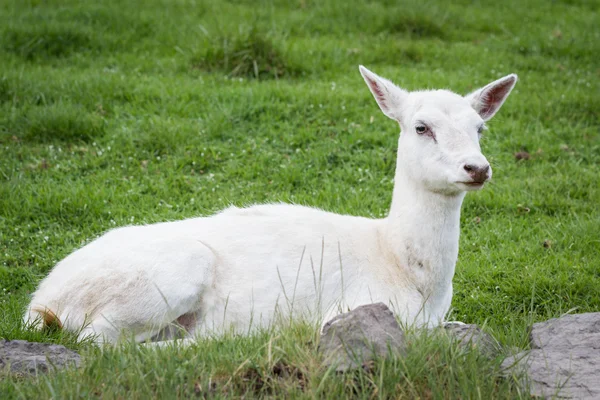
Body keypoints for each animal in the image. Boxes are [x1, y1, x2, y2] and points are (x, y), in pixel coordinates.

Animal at [24, 65, 516, 344]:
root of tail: (40, 303)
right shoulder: (351, 310)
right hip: (164, 278)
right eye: (420, 127)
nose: (477, 168)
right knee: (98, 343)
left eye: (479, 128)